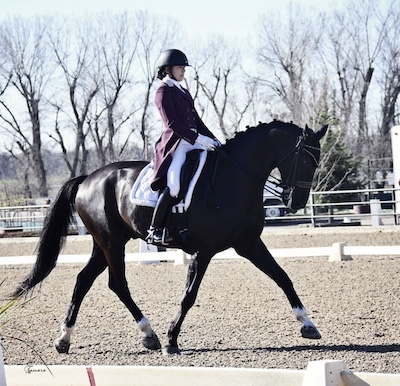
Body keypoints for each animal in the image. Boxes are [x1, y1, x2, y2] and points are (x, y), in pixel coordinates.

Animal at [14, 119, 328, 354]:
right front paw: (171, 340)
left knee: (83, 281)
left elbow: (283, 277)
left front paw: (308, 325)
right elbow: (189, 295)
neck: (234, 177)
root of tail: (87, 178)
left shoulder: (248, 243)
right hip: (111, 242)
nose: (297, 202)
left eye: (317, 161)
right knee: (118, 284)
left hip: (104, 244)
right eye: (304, 159)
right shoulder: (205, 250)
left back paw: (64, 339)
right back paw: (149, 334)